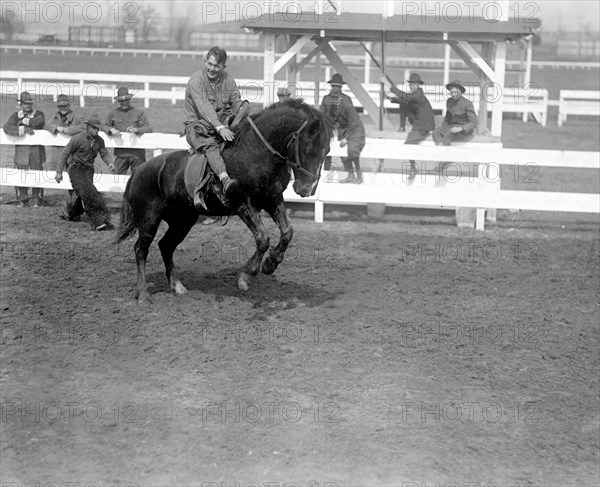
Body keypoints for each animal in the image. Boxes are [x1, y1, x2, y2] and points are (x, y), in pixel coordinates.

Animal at [117, 99, 332, 304]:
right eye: (309, 150)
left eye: (327, 151)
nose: (308, 189)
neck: (256, 151)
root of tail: (138, 171)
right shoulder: (243, 205)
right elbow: (263, 238)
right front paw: (247, 277)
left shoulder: (273, 199)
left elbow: (287, 232)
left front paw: (271, 264)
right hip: (148, 221)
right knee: (141, 250)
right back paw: (143, 294)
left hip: (182, 221)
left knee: (166, 246)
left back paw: (177, 286)